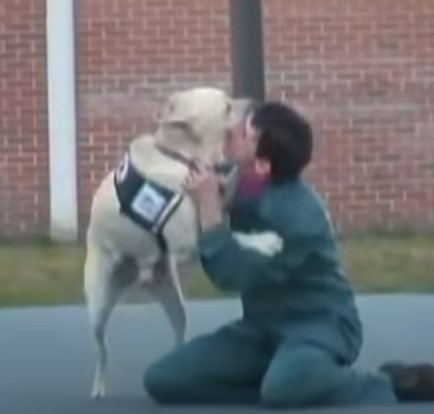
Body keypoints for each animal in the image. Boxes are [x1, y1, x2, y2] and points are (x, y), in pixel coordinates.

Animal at [83, 86, 284, 398]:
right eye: (226, 107)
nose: (255, 102)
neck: (180, 157)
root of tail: (139, 274)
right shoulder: (191, 240)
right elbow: (237, 236)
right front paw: (267, 241)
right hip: (99, 303)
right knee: (102, 348)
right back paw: (100, 385)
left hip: (174, 301)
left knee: (178, 334)